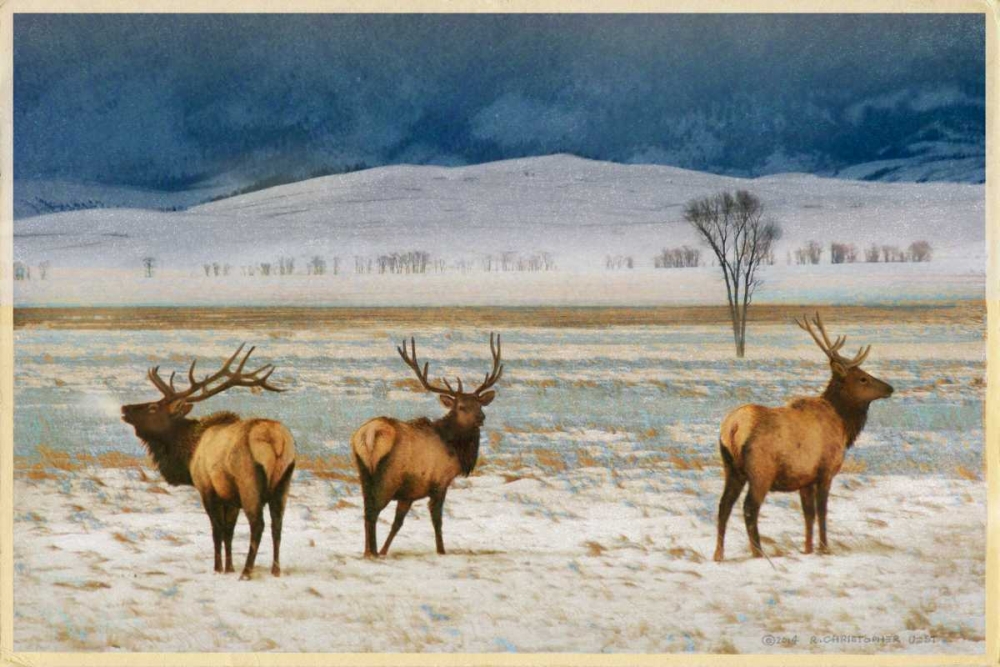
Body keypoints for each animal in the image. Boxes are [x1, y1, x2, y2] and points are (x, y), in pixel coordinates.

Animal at [120, 344, 296, 580]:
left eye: (153, 408)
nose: (125, 408)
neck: (188, 455)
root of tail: (275, 438)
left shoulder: (206, 488)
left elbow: (217, 530)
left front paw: (219, 568)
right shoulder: (229, 497)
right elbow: (229, 531)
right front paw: (229, 567)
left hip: (248, 480)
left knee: (258, 524)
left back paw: (247, 571)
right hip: (283, 482)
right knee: (278, 524)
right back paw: (275, 570)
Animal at [351, 333, 503, 558]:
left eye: (479, 404)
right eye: (461, 406)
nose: (481, 418)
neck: (456, 450)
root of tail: (369, 434)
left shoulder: (409, 492)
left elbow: (397, 523)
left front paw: (386, 550)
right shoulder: (439, 482)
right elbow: (437, 520)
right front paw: (441, 551)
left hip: (363, 471)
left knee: (366, 510)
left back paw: (370, 551)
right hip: (387, 476)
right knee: (372, 511)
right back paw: (373, 552)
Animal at [713, 313, 893, 562]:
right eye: (863, 378)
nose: (890, 388)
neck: (844, 425)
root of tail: (732, 428)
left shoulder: (804, 478)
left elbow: (808, 514)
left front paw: (807, 549)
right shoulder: (825, 471)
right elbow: (822, 511)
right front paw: (825, 548)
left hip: (731, 468)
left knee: (723, 506)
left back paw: (718, 554)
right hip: (760, 471)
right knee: (749, 508)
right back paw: (758, 553)